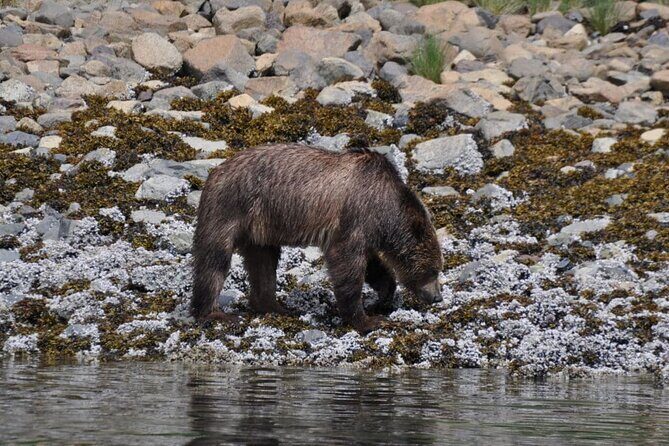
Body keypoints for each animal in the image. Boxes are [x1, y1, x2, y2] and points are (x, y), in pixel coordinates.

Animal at [192, 143, 443, 333]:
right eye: (434, 270)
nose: (438, 297)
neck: (385, 208)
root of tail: (215, 172)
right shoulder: (355, 215)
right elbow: (347, 263)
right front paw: (367, 320)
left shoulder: (368, 229)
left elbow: (374, 266)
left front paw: (382, 297)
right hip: (229, 207)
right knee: (215, 260)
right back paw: (213, 313)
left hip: (260, 228)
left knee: (263, 262)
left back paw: (275, 306)